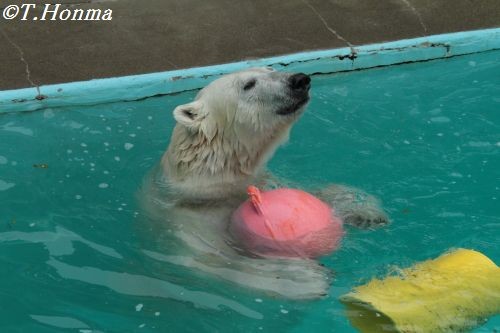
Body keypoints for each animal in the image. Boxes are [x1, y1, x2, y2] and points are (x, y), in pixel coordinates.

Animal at [141, 67, 386, 298]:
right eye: (248, 84)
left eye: (271, 68)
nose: (299, 80)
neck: (212, 179)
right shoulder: (187, 220)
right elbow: (217, 262)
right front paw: (304, 278)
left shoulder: (261, 180)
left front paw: (365, 212)